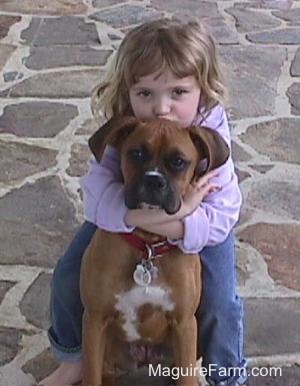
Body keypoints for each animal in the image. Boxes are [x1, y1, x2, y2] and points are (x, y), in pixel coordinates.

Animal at [79, 116, 230, 384]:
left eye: (178, 161)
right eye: (136, 153)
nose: (153, 179)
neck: (148, 246)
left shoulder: (184, 325)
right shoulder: (95, 321)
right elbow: (91, 376)